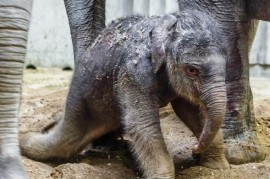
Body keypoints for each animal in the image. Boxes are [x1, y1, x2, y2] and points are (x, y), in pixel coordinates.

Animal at [20, 9, 230, 178]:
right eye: (192, 70)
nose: (194, 149)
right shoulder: (132, 74)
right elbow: (143, 124)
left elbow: (191, 111)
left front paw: (217, 167)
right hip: (80, 100)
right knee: (66, 142)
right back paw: (24, 140)